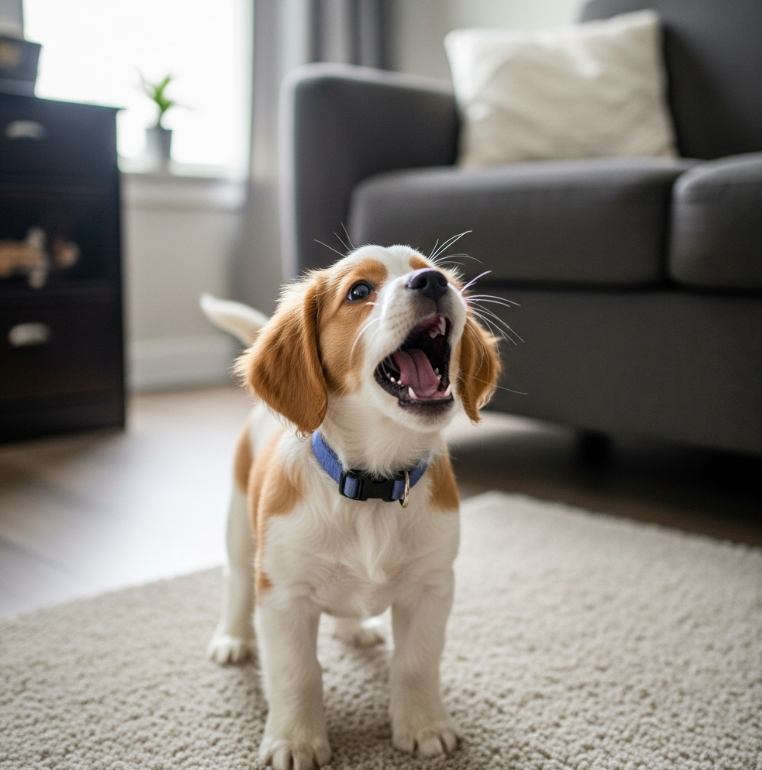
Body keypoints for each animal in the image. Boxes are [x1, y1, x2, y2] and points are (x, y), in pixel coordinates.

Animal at [201, 244, 500, 770]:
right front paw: (296, 740)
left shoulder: (432, 587)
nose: (432, 281)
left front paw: (424, 726)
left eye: (432, 268)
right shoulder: (283, 596)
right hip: (240, 525)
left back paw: (354, 628)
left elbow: (417, 663)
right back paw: (233, 638)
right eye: (359, 291)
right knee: (236, 578)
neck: (373, 485)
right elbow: (297, 672)